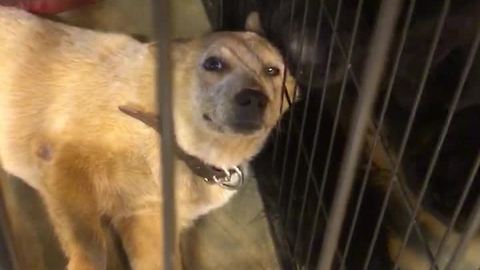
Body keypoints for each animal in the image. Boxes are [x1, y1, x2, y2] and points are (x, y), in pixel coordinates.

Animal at [0, 6, 294, 270]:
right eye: (213, 64)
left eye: (272, 71)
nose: (255, 99)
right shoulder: (64, 161)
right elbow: (92, 248)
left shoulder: (146, 219)